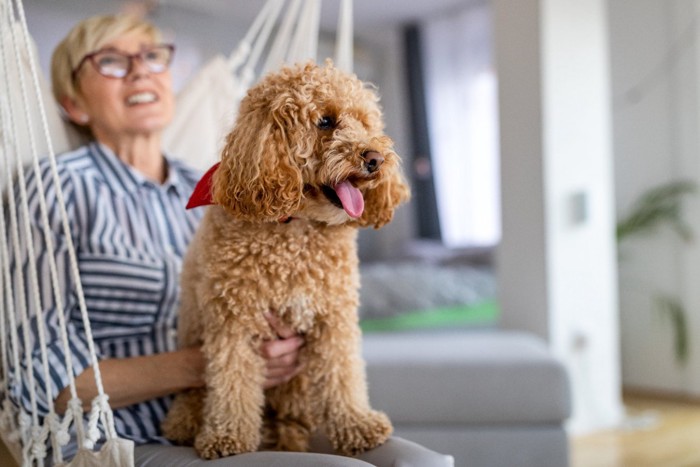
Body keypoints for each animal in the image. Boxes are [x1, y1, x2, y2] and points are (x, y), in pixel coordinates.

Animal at [160, 62, 410, 460]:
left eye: (366, 122)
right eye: (325, 121)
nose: (375, 159)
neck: (295, 227)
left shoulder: (333, 318)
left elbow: (343, 373)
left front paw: (357, 424)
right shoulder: (233, 321)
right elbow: (231, 381)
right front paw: (227, 436)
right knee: (194, 394)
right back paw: (185, 422)